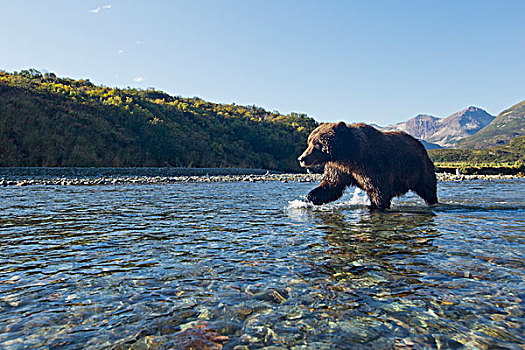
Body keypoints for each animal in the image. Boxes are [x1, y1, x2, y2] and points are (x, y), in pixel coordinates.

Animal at [296, 122, 436, 209]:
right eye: (309, 141)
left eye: (317, 143)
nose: (301, 158)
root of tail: (420, 145)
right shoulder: (339, 169)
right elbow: (331, 186)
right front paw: (305, 200)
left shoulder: (374, 166)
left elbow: (378, 191)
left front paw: (376, 206)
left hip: (420, 168)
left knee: (428, 188)